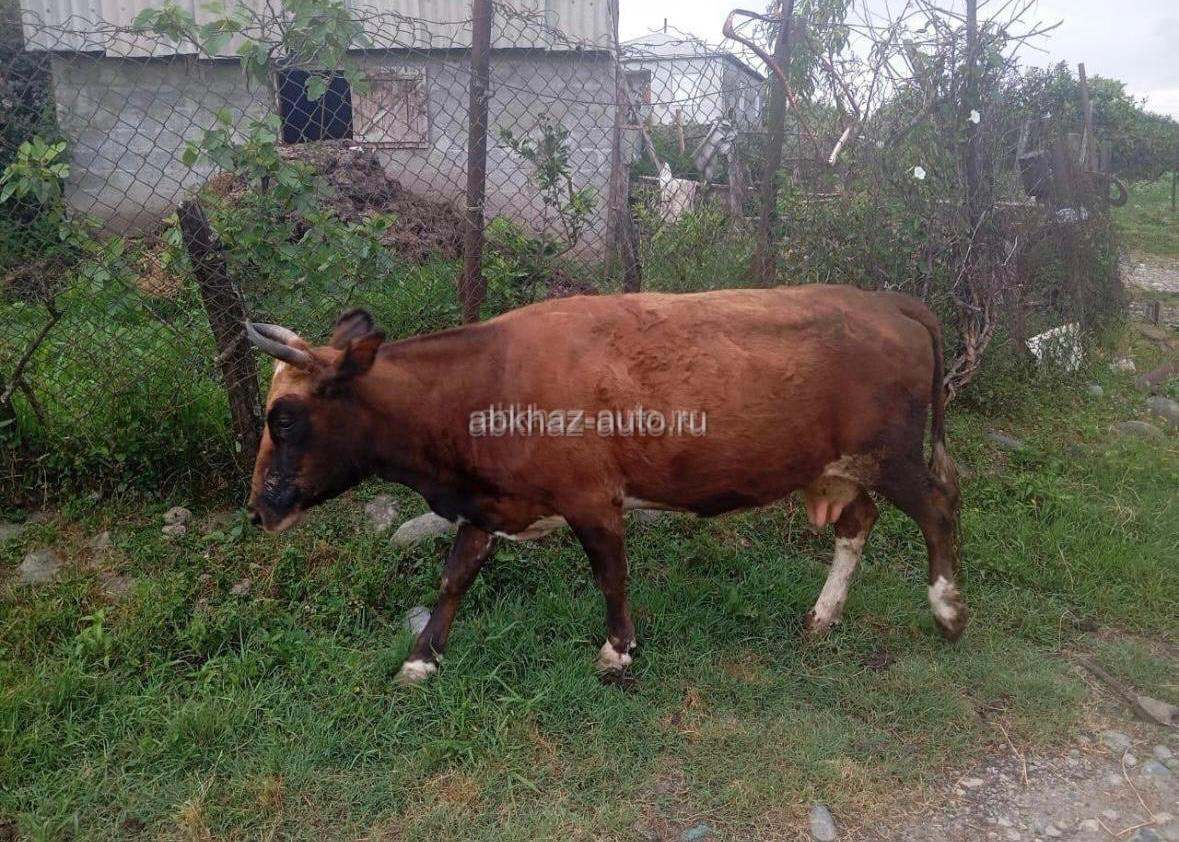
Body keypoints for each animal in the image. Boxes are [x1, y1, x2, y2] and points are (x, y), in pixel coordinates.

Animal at [244, 285, 967, 684]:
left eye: (284, 417)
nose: (256, 509)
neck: (483, 381)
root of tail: (885, 300)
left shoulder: (592, 498)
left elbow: (610, 575)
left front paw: (618, 650)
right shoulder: (488, 503)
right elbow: (454, 577)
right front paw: (422, 658)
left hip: (890, 454)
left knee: (938, 505)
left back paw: (947, 611)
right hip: (836, 468)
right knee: (858, 522)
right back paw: (823, 616)